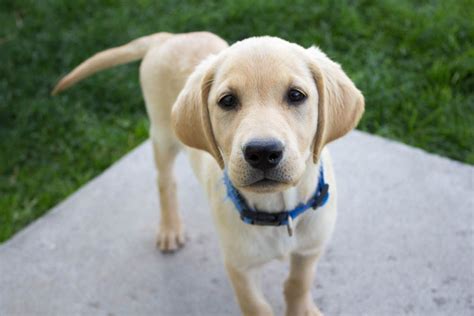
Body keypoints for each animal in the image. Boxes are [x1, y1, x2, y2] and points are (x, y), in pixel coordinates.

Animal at [52, 32, 362, 316]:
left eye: (296, 95)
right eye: (227, 101)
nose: (262, 152)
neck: (279, 210)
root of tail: (168, 37)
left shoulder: (310, 249)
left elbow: (298, 285)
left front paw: (302, 308)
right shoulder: (239, 266)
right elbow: (256, 306)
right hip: (162, 134)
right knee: (165, 181)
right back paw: (170, 228)